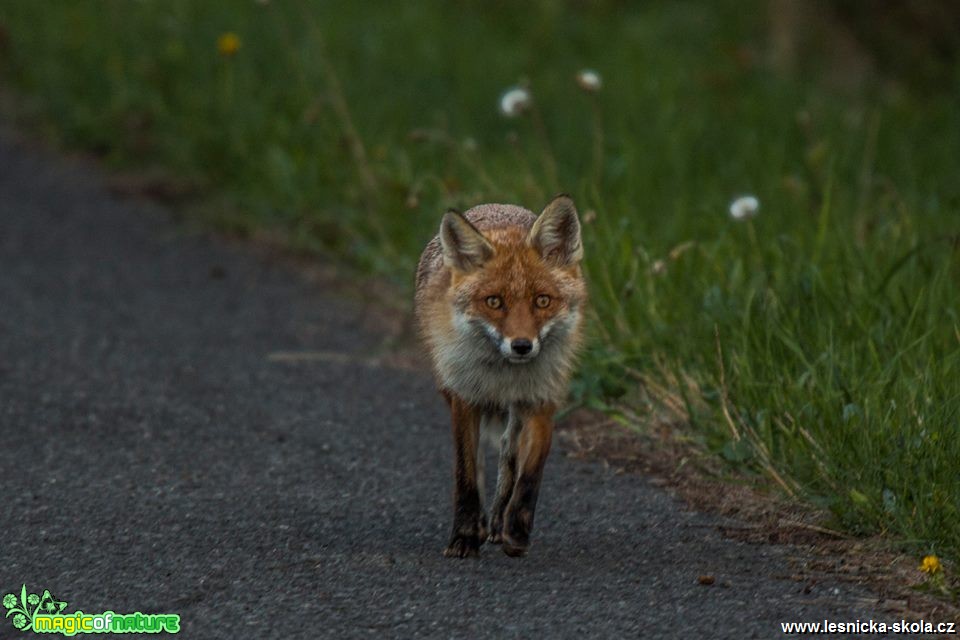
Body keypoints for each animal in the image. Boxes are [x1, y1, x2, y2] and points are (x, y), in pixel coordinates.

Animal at [416, 196, 588, 560]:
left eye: (542, 300)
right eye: (494, 301)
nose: (522, 346)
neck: (505, 377)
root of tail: (497, 204)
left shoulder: (542, 400)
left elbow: (529, 476)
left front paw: (517, 532)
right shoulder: (465, 398)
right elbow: (466, 474)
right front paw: (465, 536)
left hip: (518, 412)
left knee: (509, 451)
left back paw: (497, 520)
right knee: (481, 460)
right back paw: (483, 523)